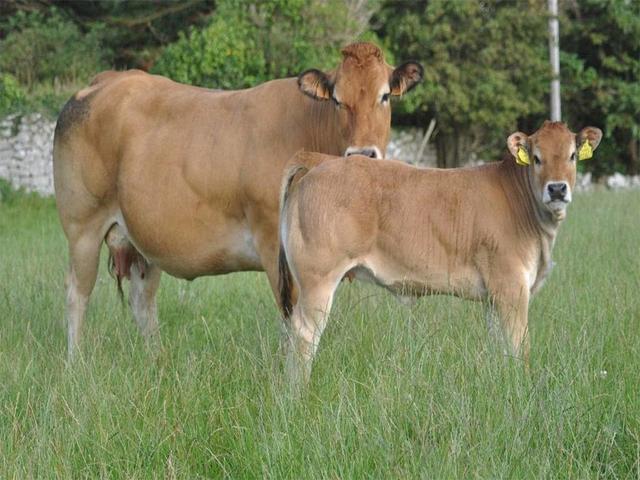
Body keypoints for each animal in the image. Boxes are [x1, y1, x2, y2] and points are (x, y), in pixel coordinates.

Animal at [53, 42, 424, 356]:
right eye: (336, 99)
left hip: (141, 236)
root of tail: (105, 81)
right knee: (76, 294)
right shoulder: (276, 245)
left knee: (142, 301)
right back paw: (76, 364)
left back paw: (158, 361)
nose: (362, 153)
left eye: (385, 96)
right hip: (82, 226)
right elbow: (291, 318)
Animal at [278, 121, 602, 384]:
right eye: (536, 158)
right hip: (318, 278)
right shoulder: (511, 285)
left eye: (572, 155)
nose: (557, 189)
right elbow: (518, 346)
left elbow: (500, 344)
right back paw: (299, 394)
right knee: (304, 334)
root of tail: (319, 161)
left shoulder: (493, 296)